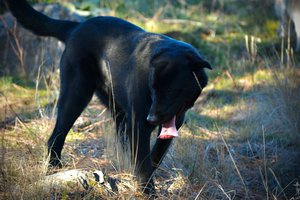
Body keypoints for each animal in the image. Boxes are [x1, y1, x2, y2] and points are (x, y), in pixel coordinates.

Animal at [4, 0, 211, 194]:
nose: (151, 118)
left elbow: (156, 153)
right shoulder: (139, 124)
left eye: (171, 90)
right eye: (153, 89)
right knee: (57, 134)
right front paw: (147, 191)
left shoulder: (171, 120)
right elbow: (143, 161)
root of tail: (77, 27)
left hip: (116, 108)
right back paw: (53, 167)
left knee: (119, 136)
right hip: (76, 95)